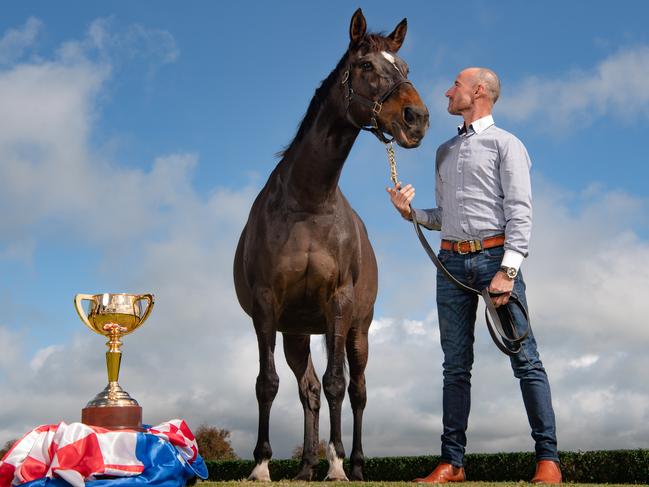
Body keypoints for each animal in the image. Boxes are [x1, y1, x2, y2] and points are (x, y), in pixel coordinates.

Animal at [234, 9, 430, 482]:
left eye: (405, 67)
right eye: (366, 66)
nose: (417, 118)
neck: (308, 201)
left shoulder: (338, 303)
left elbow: (337, 384)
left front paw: (337, 464)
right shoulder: (267, 307)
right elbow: (268, 384)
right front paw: (262, 465)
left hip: (359, 332)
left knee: (357, 390)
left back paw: (355, 464)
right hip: (297, 333)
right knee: (307, 390)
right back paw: (306, 466)